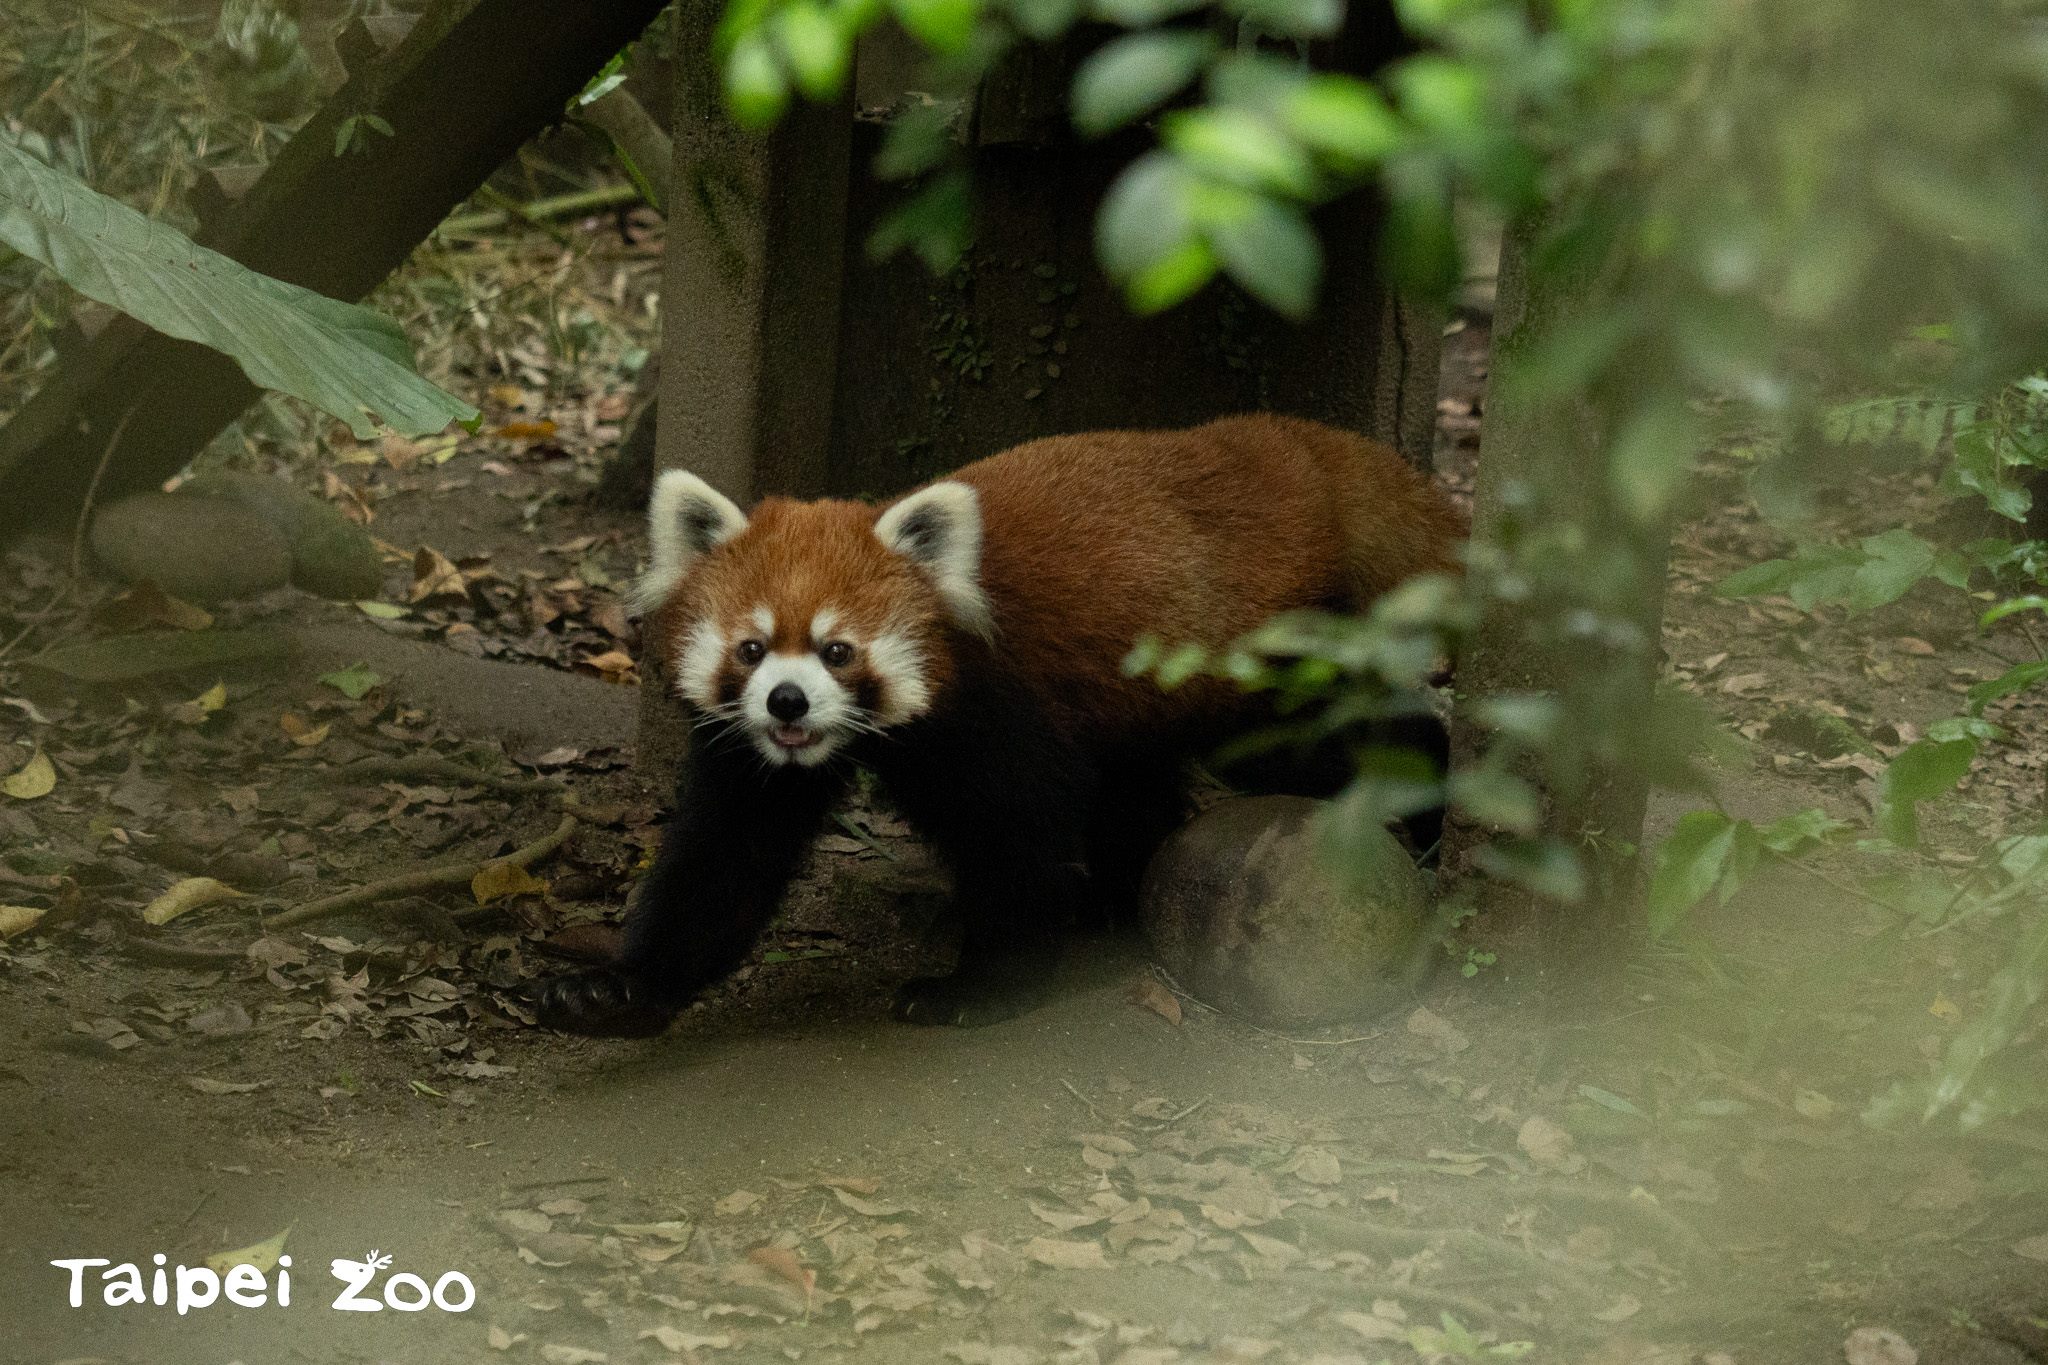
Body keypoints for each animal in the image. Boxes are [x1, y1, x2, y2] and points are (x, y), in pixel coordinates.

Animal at [540, 417, 1474, 1035]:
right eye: (753, 648)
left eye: (839, 650)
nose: (788, 702)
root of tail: (1291, 445)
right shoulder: (757, 762)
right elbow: (725, 858)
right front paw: (620, 991)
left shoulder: (995, 712)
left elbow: (1017, 832)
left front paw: (980, 987)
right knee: (1139, 780)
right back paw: (1111, 896)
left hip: (1253, 665)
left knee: (1315, 744)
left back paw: (1429, 804)